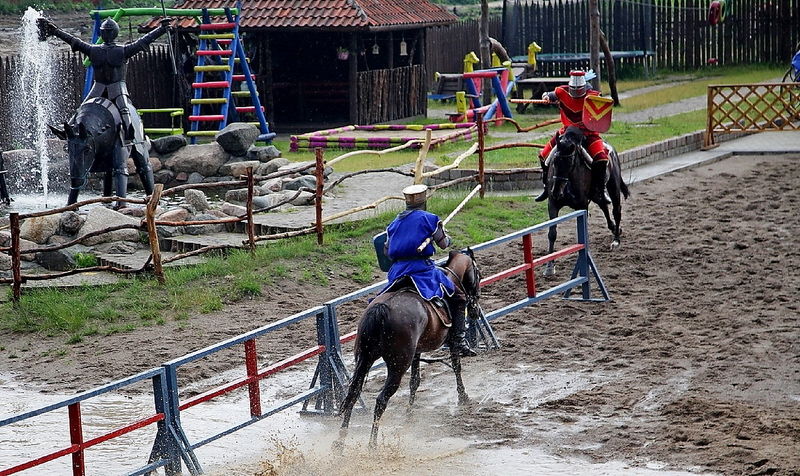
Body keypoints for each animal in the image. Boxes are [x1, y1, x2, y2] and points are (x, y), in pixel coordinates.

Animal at [336, 249, 482, 446]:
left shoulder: (417, 351)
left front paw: (409, 413)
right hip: (398, 365)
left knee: (353, 394)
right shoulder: (451, 343)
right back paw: (372, 444)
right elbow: (456, 367)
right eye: (478, 274)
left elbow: (415, 381)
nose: (475, 310)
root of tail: (381, 308)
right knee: (381, 400)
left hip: (365, 358)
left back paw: (340, 442)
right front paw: (463, 397)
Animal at [544, 125, 632, 276]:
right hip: (596, 194)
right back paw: (615, 228)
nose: (556, 192)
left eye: (570, 163)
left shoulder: (582, 205)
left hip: (613, 187)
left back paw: (616, 240)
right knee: (604, 206)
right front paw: (550, 266)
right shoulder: (553, 204)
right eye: (554, 161)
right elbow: (552, 233)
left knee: (616, 211)